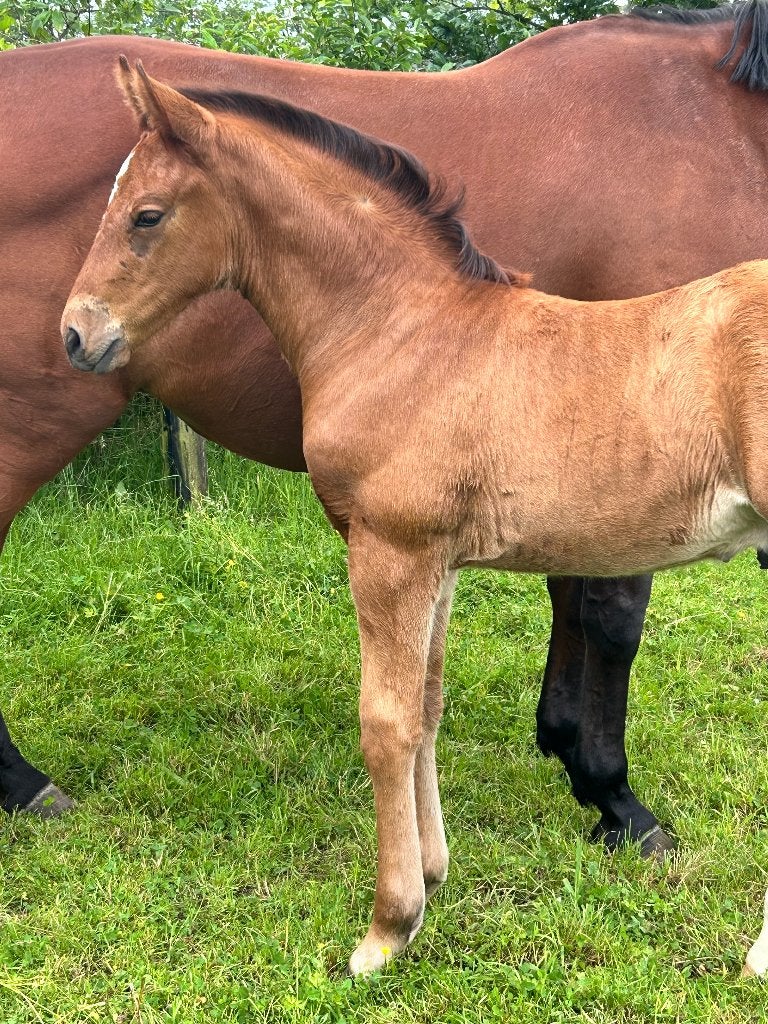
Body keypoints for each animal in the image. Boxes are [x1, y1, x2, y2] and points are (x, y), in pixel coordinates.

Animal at [2, 6, 768, 855]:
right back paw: (27, 786)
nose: (78, 331)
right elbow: (607, 617)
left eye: (146, 214)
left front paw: (579, 766)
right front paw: (615, 799)